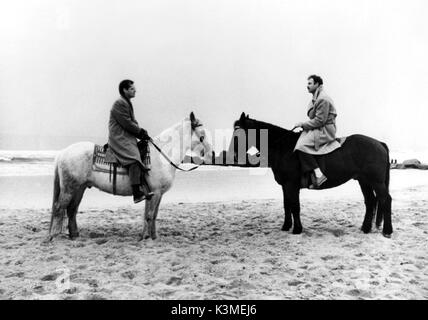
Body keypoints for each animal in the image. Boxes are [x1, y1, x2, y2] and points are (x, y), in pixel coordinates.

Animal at [48, 112, 212, 240]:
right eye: (202, 136)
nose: (211, 154)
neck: (160, 156)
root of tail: (63, 153)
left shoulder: (154, 194)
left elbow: (151, 215)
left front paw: (150, 236)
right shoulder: (156, 192)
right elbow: (150, 215)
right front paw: (148, 238)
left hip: (79, 188)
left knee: (71, 210)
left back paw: (74, 235)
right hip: (69, 188)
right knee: (59, 208)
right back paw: (54, 237)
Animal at [232, 112, 392, 238]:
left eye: (238, 134)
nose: (234, 156)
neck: (283, 148)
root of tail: (379, 143)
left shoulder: (291, 185)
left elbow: (295, 206)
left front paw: (297, 229)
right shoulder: (285, 186)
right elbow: (286, 205)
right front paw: (286, 226)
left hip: (376, 182)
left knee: (385, 200)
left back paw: (387, 231)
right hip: (364, 181)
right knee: (370, 201)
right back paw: (365, 228)